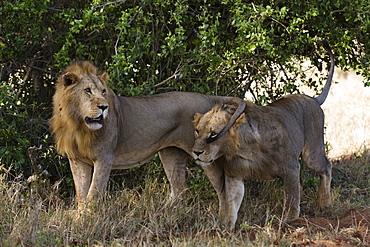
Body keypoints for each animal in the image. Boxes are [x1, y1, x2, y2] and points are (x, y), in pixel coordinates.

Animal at [49, 59, 246, 210]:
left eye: (103, 92)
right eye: (87, 91)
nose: (104, 107)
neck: (77, 124)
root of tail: (209, 98)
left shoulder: (105, 157)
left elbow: (93, 193)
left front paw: (86, 221)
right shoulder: (77, 159)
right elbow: (81, 194)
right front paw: (78, 219)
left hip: (206, 155)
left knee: (223, 188)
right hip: (171, 154)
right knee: (180, 188)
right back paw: (163, 213)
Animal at [192, 39, 334, 231]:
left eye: (213, 133)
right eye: (197, 131)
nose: (196, 152)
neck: (244, 149)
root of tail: (312, 98)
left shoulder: (290, 168)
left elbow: (291, 201)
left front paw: (289, 223)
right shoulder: (234, 174)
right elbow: (231, 205)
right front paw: (227, 230)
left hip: (312, 153)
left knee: (326, 166)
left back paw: (324, 203)